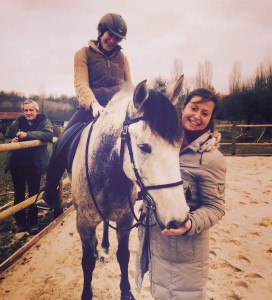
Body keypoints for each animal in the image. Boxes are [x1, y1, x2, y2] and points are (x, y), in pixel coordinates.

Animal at [70, 78, 189, 300]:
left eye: (178, 145)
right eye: (143, 147)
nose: (178, 218)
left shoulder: (125, 219)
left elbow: (123, 255)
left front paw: (125, 290)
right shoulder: (83, 223)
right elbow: (87, 262)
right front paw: (86, 292)